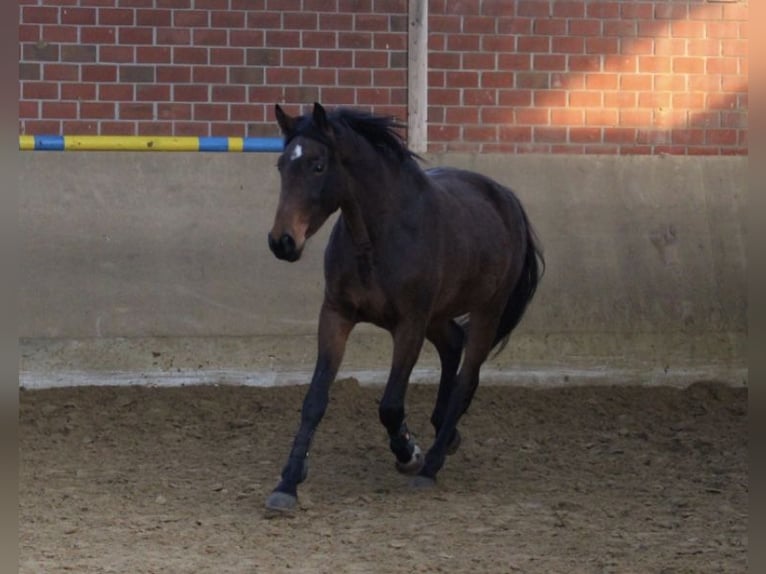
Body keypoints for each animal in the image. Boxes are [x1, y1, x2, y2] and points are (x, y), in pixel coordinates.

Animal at [268, 103, 544, 512]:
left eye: (318, 165)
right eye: (282, 165)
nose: (282, 242)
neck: (377, 239)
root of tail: (507, 199)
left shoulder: (410, 324)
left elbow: (390, 405)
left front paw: (408, 452)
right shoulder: (336, 316)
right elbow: (314, 400)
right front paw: (287, 482)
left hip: (486, 312)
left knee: (467, 376)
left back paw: (431, 463)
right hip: (439, 315)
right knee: (453, 344)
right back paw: (446, 432)